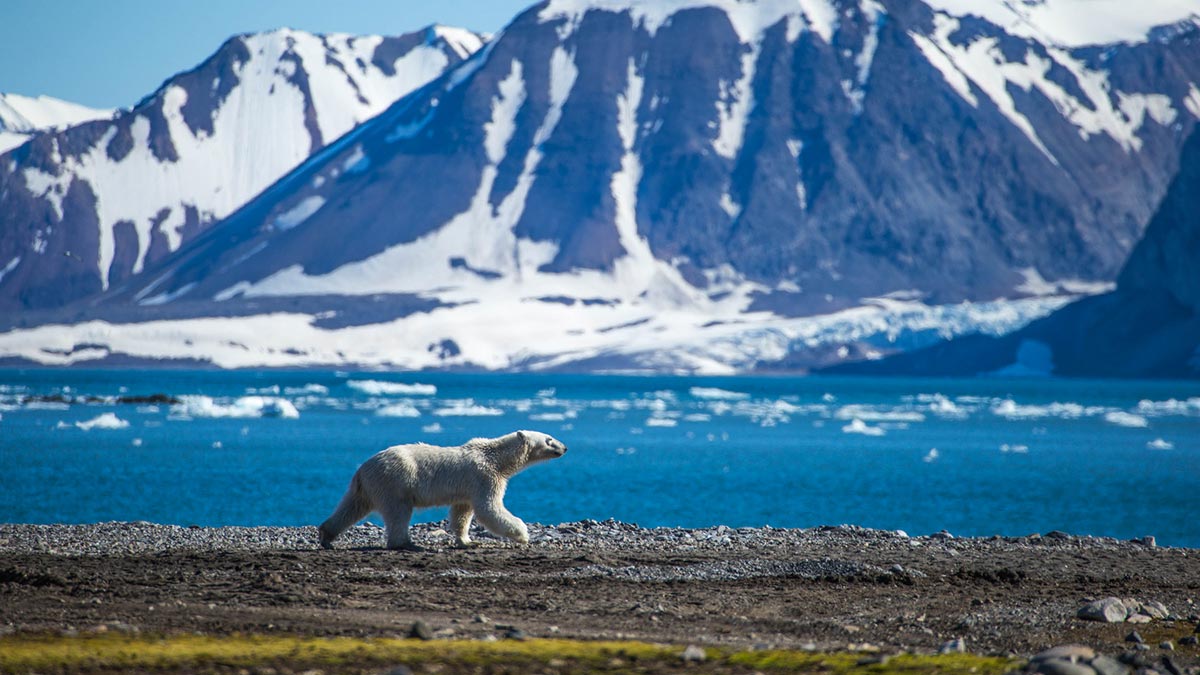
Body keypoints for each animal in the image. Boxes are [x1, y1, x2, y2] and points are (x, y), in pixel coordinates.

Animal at [316, 429, 564, 547]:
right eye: (549, 439)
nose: (564, 448)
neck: (496, 458)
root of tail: (363, 468)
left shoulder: (468, 488)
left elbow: (462, 512)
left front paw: (466, 541)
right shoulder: (484, 477)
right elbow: (489, 508)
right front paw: (523, 534)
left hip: (367, 486)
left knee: (351, 507)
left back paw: (326, 535)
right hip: (394, 481)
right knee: (398, 512)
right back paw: (406, 543)